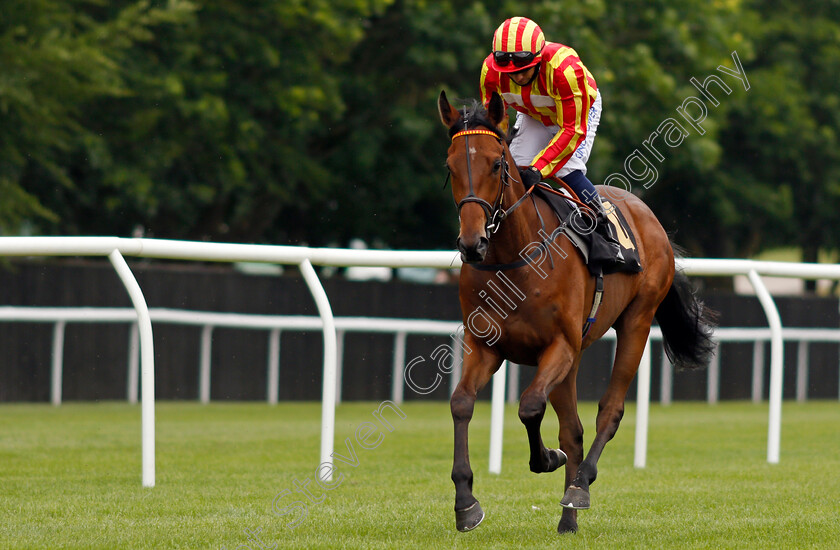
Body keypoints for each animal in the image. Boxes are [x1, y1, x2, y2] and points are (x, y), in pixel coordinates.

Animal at [440, 91, 716, 540]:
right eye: (449, 167)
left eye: (497, 164)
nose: (472, 243)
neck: (515, 258)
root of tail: (648, 215)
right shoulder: (486, 346)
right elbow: (462, 403)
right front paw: (466, 502)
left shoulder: (560, 346)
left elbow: (529, 406)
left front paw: (545, 459)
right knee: (573, 430)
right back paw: (567, 519)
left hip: (637, 321)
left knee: (609, 411)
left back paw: (579, 487)